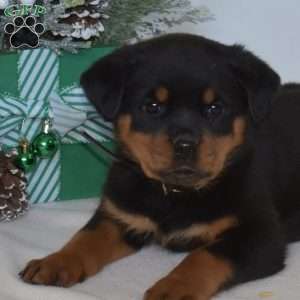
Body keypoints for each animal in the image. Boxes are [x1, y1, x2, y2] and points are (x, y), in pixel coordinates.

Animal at [18, 32, 300, 300]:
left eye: (214, 108)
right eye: (152, 106)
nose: (185, 144)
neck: (174, 193)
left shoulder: (261, 235)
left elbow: (205, 256)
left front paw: (174, 287)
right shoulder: (120, 213)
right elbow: (86, 237)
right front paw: (55, 262)